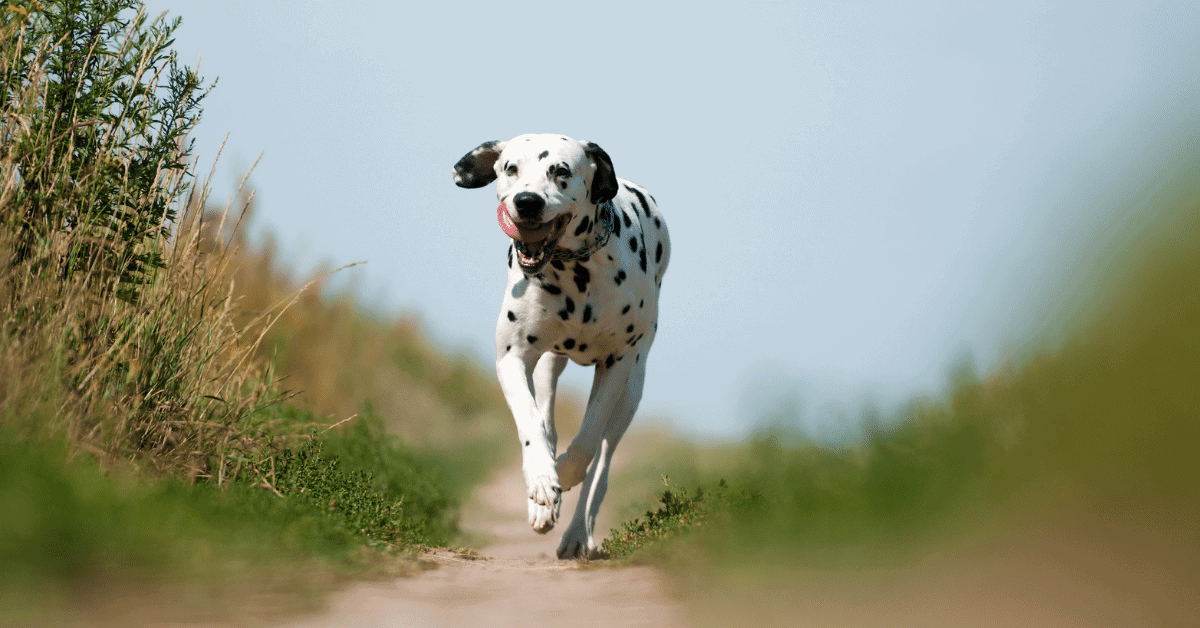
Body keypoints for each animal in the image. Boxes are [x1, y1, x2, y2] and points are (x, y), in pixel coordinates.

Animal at [453, 133, 672, 559]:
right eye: (511, 168)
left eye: (561, 172)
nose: (527, 202)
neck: (575, 270)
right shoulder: (512, 359)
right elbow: (530, 423)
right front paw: (542, 481)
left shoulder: (618, 364)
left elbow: (588, 441)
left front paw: (566, 472)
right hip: (549, 367)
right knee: (547, 423)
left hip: (631, 393)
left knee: (601, 465)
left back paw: (576, 533)